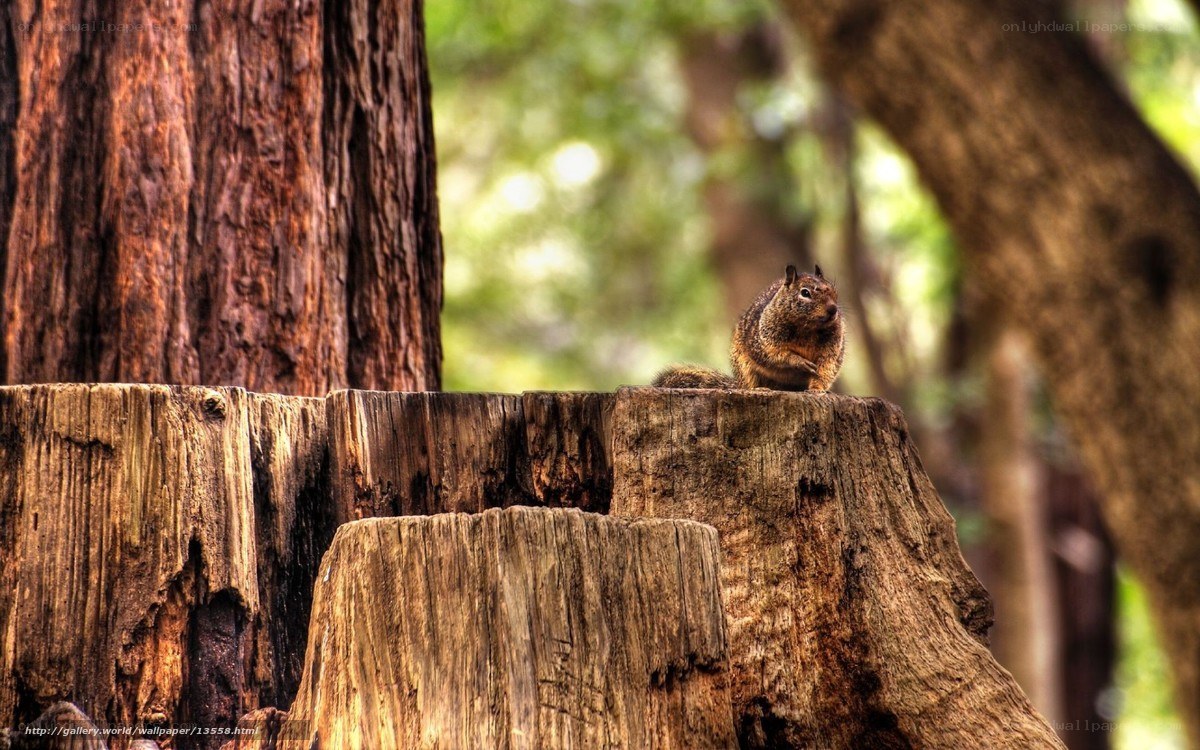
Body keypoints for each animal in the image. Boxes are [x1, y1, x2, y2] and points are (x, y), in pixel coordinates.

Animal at [654, 264, 845, 391]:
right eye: (805, 293)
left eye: (834, 291)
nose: (833, 309)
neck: (808, 328)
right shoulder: (764, 339)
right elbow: (775, 354)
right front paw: (799, 361)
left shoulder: (832, 347)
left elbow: (825, 368)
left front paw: (817, 390)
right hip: (744, 366)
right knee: (750, 383)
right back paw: (760, 389)